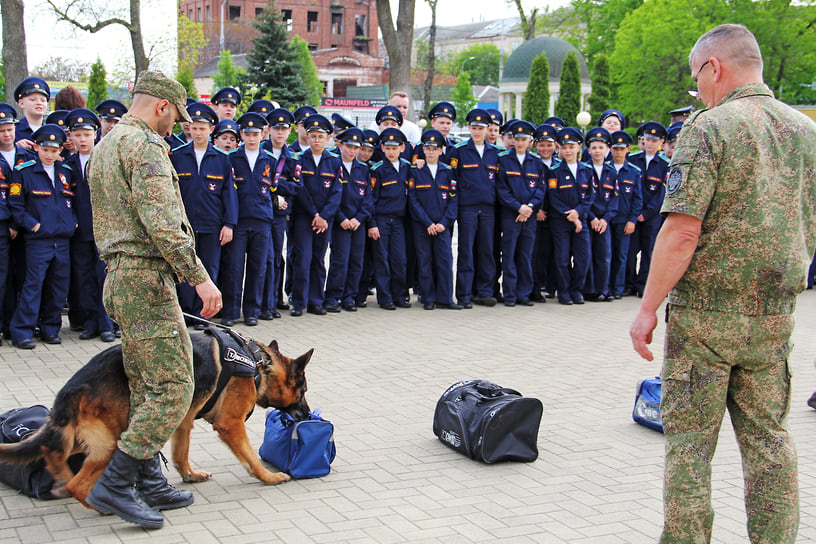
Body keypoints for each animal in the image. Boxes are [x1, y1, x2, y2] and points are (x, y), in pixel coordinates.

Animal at [0, 332, 312, 510]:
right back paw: (104, 505)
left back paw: (60, 477)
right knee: (78, 484)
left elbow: (181, 453)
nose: (309, 415)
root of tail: (74, 387)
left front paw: (189, 475)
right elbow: (250, 457)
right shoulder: (231, 424)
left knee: (51, 450)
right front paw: (268, 477)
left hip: (87, 436)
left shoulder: (183, 419)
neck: (258, 362)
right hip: (112, 440)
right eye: (304, 391)